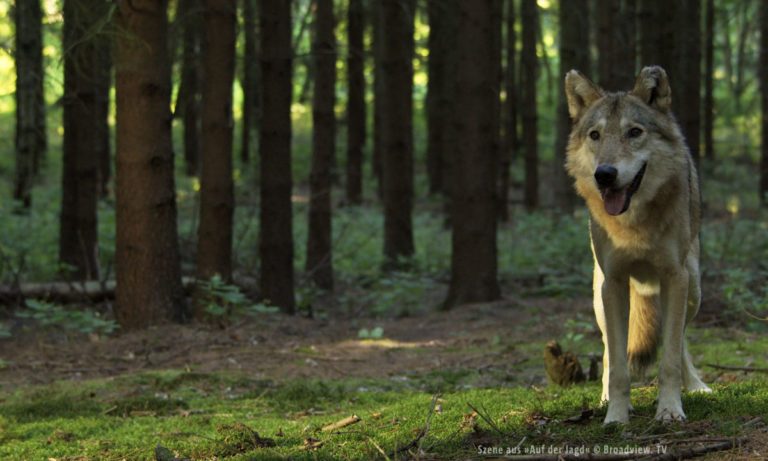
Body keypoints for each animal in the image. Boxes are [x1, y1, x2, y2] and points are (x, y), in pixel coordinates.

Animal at [560, 66, 712, 422]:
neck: (633, 225)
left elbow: (669, 359)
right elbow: (617, 365)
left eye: (634, 132)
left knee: (681, 342)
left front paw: (669, 410)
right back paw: (604, 398)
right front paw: (616, 415)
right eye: (595, 135)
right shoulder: (614, 283)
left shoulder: (675, 278)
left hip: (693, 291)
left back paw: (695, 385)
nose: (605, 174)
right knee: (606, 352)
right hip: (600, 299)